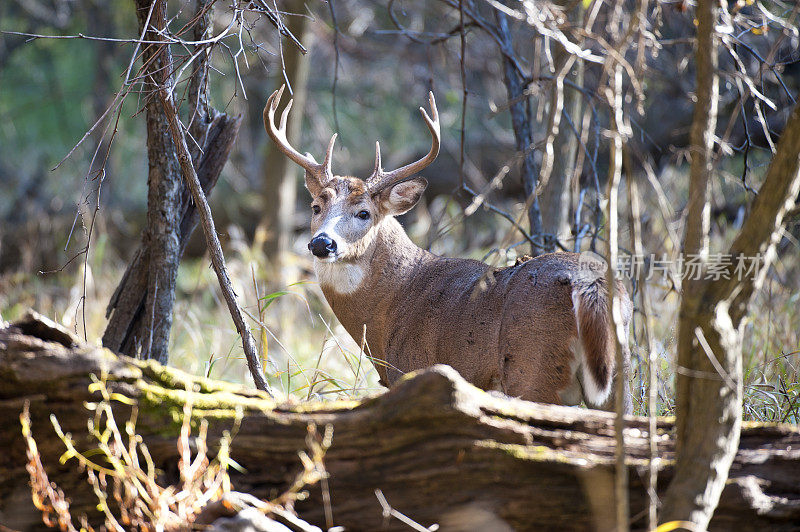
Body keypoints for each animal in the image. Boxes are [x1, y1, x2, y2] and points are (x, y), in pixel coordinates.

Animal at [262, 87, 632, 412]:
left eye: (364, 213)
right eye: (315, 206)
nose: (322, 243)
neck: (392, 302)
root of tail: (591, 283)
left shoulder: (411, 369)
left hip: (535, 369)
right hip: (621, 374)